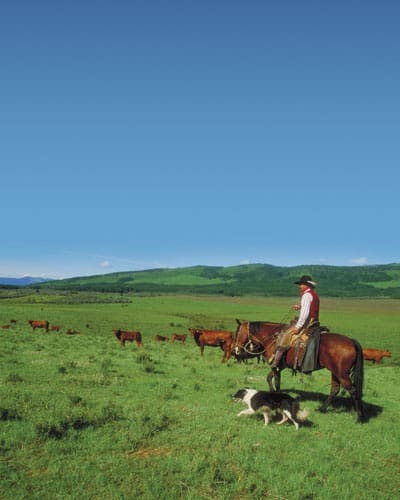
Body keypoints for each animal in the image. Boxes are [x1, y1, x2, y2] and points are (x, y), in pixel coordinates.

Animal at [233, 320, 364, 422]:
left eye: (238, 332)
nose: (236, 349)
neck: (271, 337)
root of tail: (351, 341)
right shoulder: (279, 367)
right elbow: (269, 378)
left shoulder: (275, 366)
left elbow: (276, 382)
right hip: (335, 372)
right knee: (335, 389)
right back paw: (322, 409)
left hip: (341, 373)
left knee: (352, 390)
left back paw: (359, 417)